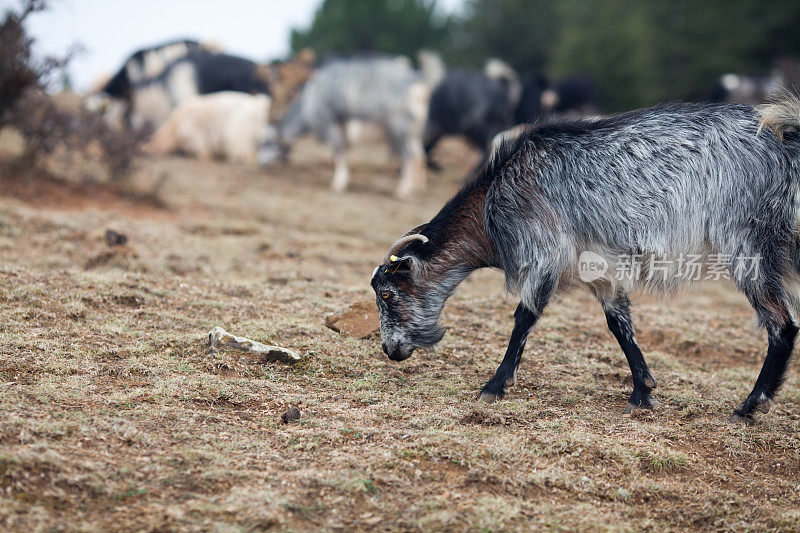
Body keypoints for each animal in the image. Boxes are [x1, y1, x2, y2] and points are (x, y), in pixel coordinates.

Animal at [268, 52, 444, 197]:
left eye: (270, 142)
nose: (270, 167)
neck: (309, 102)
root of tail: (418, 80)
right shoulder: (342, 125)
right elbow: (343, 149)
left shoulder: (330, 122)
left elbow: (338, 150)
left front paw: (337, 183)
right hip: (413, 131)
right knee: (420, 154)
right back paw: (418, 188)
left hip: (400, 128)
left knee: (409, 155)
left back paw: (402, 190)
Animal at [372, 92, 800, 424]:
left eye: (388, 293)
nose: (390, 351)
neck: (495, 198)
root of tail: (784, 141)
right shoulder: (598, 267)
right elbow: (618, 323)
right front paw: (642, 392)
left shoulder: (546, 251)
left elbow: (524, 316)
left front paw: (494, 386)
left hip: (745, 241)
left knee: (782, 323)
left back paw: (749, 407)